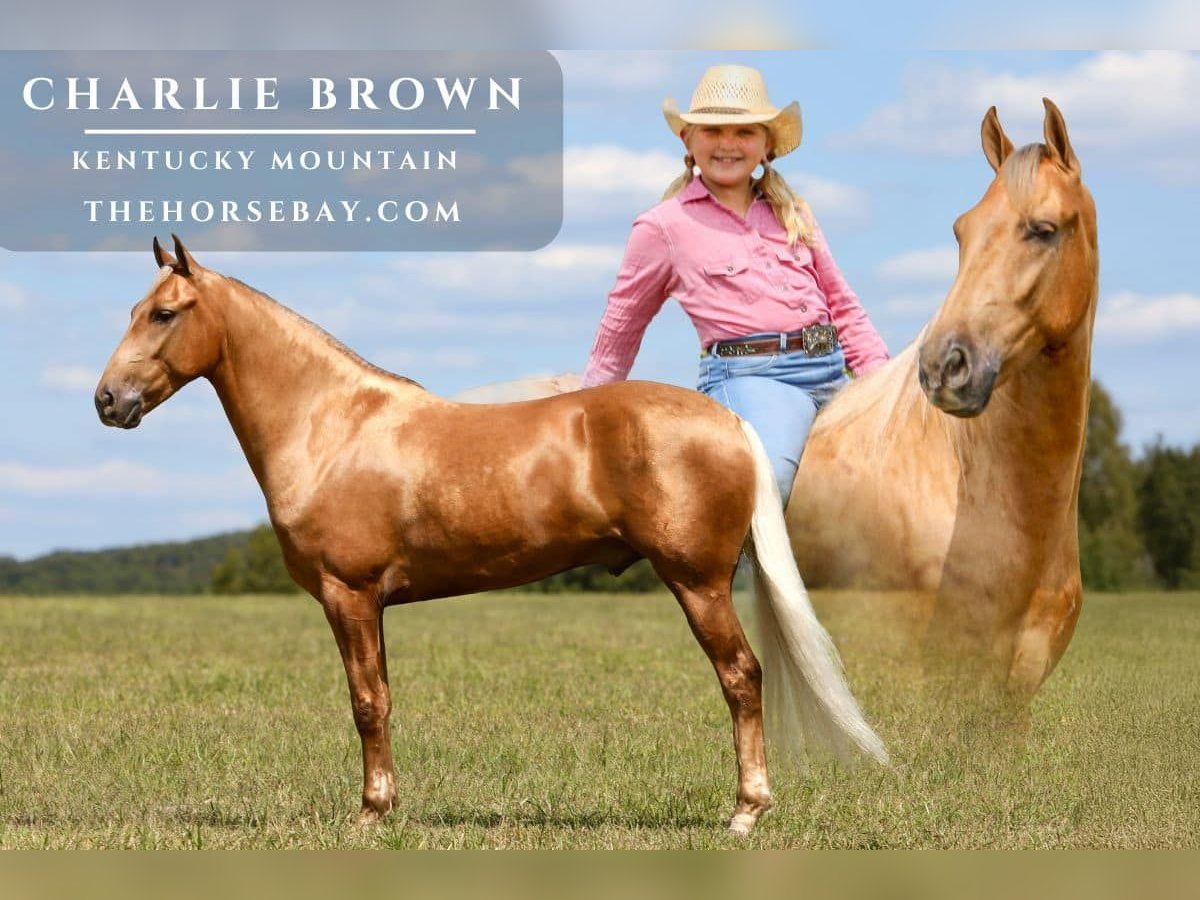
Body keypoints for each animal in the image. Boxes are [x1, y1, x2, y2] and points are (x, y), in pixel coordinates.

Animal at [94, 236, 887, 834]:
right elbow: (383, 698)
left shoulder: (346, 595)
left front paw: (368, 816)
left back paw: (746, 812)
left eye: (164, 313)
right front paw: (386, 807)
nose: (108, 400)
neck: (332, 425)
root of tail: (729, 421)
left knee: (742, 678)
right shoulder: (372, 605)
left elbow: (364, 705)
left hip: (697, 583)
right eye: (133, 309)